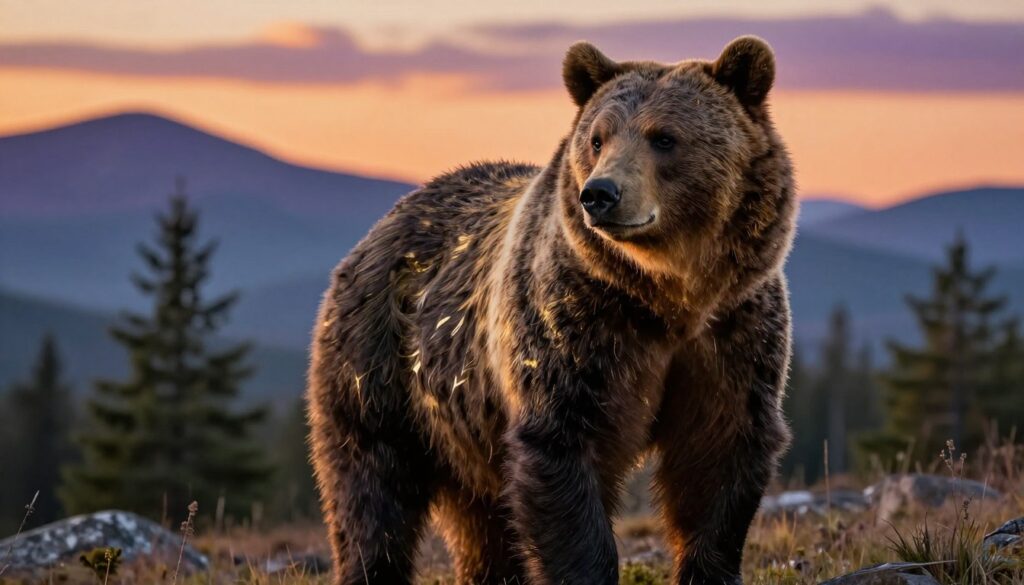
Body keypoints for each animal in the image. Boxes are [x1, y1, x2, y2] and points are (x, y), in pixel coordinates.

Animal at [307, 35, 795, 585]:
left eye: (664, 137)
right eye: (598, 139)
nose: (600, 194)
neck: (668, 297)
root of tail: (379, 228)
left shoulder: (732, 332)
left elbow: (718, 455)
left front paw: (706, 567)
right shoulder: (577, 327)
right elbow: (562, 452)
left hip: (462, 427)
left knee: (480, 522)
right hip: (379, 370)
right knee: (371, 491)